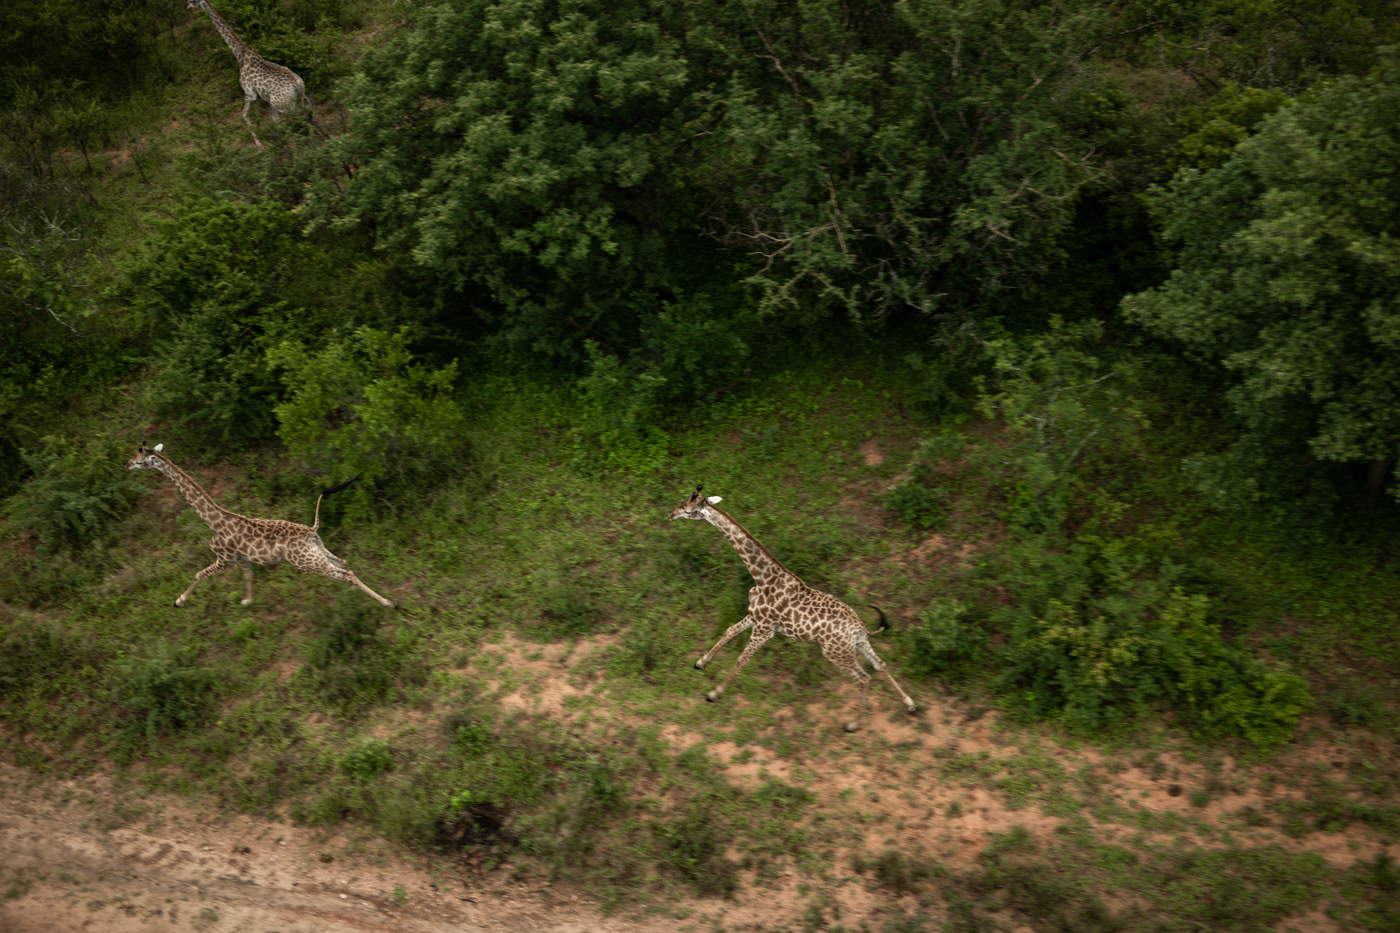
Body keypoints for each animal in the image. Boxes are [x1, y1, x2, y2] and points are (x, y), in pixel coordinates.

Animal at [125, 443, 397, 609]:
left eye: (140, 460)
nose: (126, 465)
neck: (213, 521)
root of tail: (311, 530)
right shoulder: (243, 559)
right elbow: (248, 577)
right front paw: (247, 602)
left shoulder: (226, 559)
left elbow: (199, 574)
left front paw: (179, 601)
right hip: (317, 551)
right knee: (345, 564)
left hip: (305, 562)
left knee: (344, 574)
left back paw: (389, 603)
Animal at [186, 0, 310, 152]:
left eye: (193, 1)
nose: (187, 6)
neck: (240, 55)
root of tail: (297, 83)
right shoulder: (267, 99)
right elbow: (275, 120)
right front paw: (280, 143)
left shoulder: (249, 93)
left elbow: (244, 115)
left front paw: (260, 147)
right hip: (296, 98)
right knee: (306, 112)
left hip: (283, 102)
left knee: (301, 114)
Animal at [670, 485, 917, 732]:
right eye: (683, 501)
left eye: (690, 509)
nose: (671, 514)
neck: (763, 578)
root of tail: (860, 625)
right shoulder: (755, 617)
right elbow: (729, 631)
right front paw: (700, 663)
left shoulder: (764, 629)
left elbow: (742, 659)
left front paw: (713, 694)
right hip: (858, 644)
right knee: (880, 665)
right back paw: (910, 704)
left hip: (835, 652)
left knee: (864, 678)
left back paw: (854, 724)